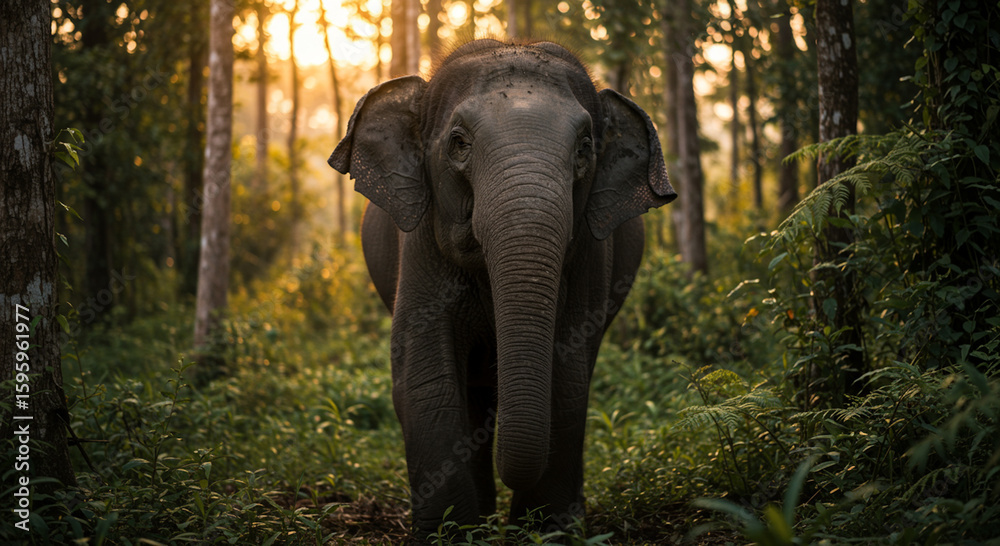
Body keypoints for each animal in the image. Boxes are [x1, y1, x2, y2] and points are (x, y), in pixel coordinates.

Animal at [329, 39, 676, 539]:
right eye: (458, 143)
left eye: (584, 148)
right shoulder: (419, 241)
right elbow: (424, 376)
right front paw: (450, 534)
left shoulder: (592, 253)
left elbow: (568, 375)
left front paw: (546, 531)